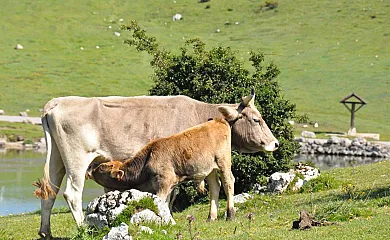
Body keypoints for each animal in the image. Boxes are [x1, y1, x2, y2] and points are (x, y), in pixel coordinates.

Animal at [33, 90, 278, 238]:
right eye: (256, 119)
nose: (275, 143)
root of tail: (57, 102)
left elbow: (210, 186)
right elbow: (169, 196)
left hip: (56, 159)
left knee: (50, 193)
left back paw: (46, 232)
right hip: (77, 159)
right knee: (72, 194)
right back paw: (84, 228)